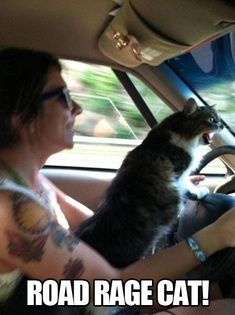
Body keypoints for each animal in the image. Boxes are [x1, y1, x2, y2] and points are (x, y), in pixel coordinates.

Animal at [77, 99, 224, 270]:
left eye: (218, 119)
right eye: (212, 120)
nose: (222, 125)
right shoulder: (178, 175)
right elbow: (187, 187)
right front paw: (200, 192)